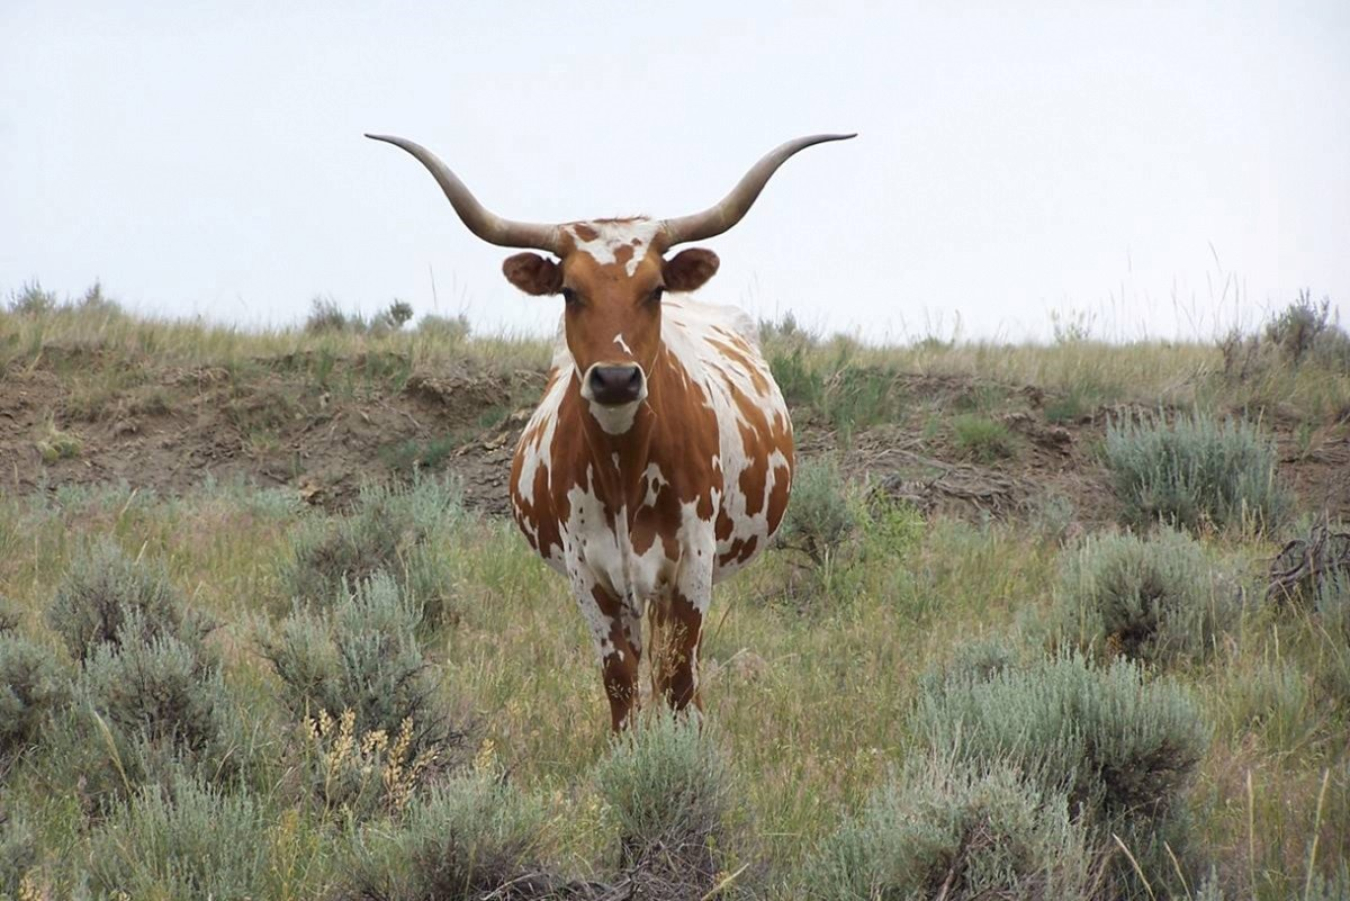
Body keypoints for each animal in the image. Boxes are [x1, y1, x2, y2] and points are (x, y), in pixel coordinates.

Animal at [369, 130, 853, 729]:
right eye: (569, 291)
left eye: (656, 290)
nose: (617, 378)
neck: (625, 469)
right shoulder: (591, 579)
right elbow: (621, 684)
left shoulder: (689, 571)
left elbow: (677, 680)